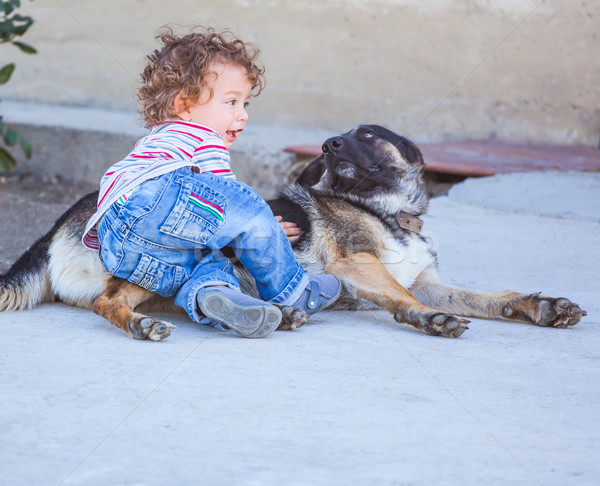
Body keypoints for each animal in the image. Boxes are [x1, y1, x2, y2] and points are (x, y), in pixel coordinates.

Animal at [0, 123, 584, 340]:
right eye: (342, 137)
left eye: (366, 135)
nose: (328, 143)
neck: (387, 212)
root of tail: (57, 223)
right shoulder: (358, 264)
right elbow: (403, 298)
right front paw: (427, 319)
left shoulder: (429, 279)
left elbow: (489, 297)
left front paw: (539, 306)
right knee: (109, 301)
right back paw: (145, 325)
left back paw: (273, 312)